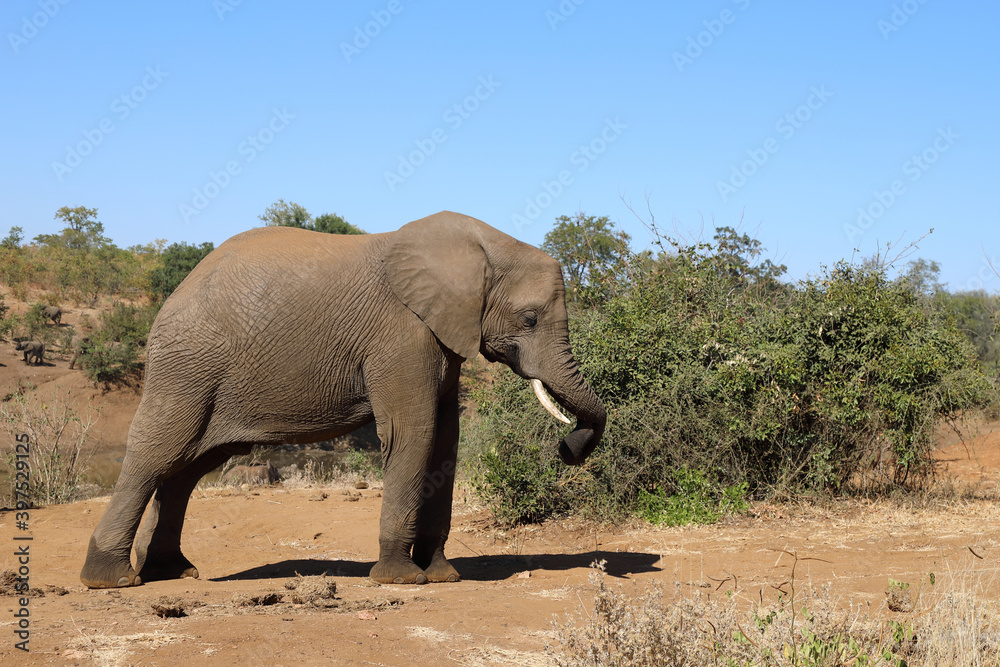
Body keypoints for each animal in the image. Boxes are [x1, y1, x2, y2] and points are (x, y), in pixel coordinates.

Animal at [80, 211, 606, 589]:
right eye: (530, 319)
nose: (568, 449)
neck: (481, 246)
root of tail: (177, 290)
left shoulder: (438, 337)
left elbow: (445, 443)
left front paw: (443, 576)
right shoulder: (401, 334)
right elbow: (414, 434)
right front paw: (401, 580)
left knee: (186, 470)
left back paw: (173, 572)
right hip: (187, 367)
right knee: (156, 454)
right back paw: (112, 581)